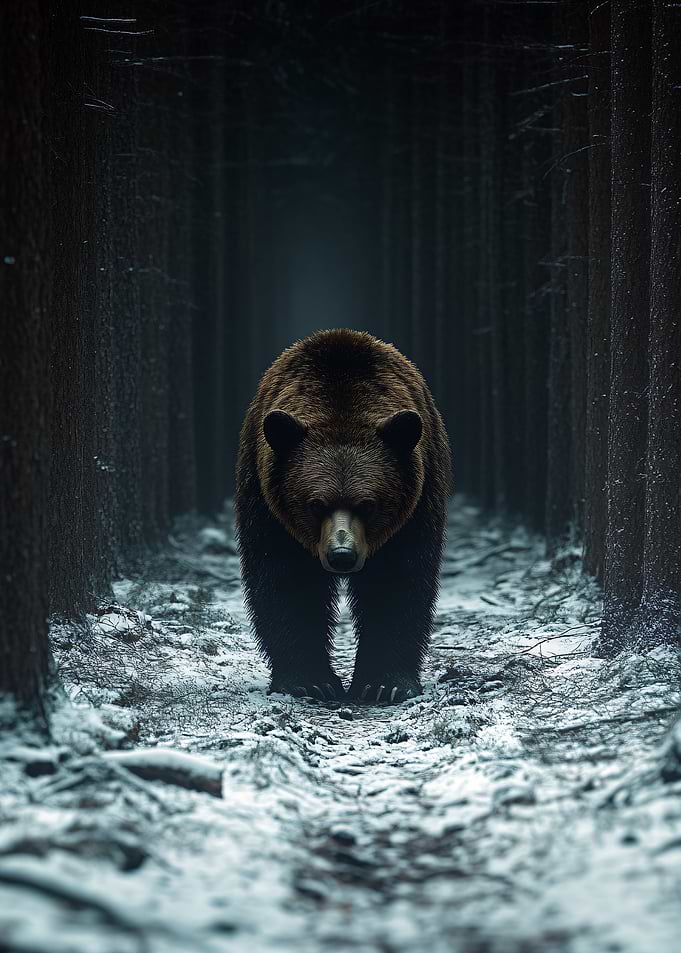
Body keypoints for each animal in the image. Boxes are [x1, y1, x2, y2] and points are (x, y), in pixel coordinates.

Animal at [235, 329, 451, 704]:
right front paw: (309, 680)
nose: (341, 555)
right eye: (315, 503)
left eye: (367, 503)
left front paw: (385, 682)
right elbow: (287, 582)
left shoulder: (416, 508)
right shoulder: (268, 508)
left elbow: (396, 582)